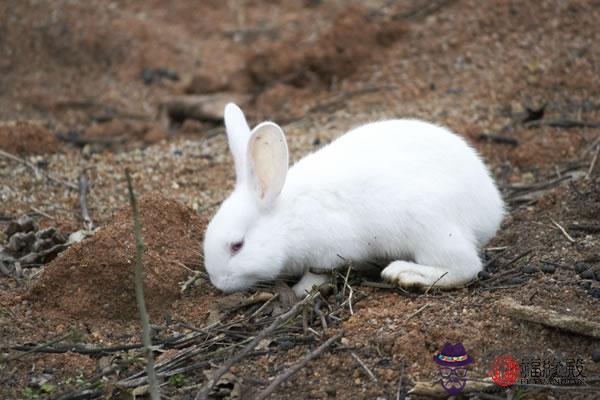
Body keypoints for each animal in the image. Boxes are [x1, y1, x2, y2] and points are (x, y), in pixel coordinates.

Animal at [204, 103, 504, 296]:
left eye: (237, 246)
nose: (218, 283)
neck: (287, 219)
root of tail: (492, 209)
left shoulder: (328, 251)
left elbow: (318, 273)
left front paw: (300, 290)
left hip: (431, 228)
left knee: (465, 267)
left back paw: (405, 274)